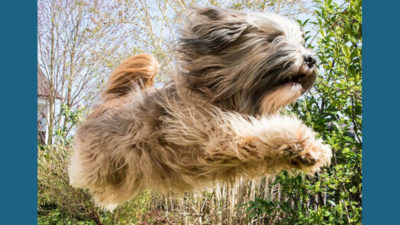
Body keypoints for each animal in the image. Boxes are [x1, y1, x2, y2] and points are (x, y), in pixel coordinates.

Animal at [68, 7, 332, 211]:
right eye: (273, 39)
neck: (222, 95)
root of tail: (110, 102)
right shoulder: (218, 133)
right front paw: (306, 144)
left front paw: (306, 152)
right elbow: (263, 131)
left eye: (299, 42)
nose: (310, 59)